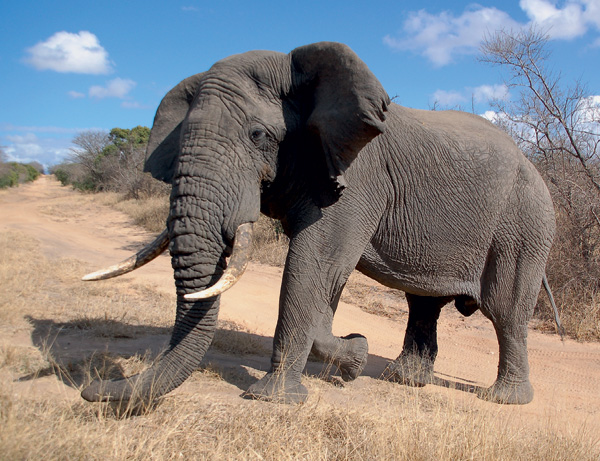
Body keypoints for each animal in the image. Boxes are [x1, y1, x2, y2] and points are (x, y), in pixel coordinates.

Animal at [81, 40, 556, 406]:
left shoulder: (359, 178)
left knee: (505, 310)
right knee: (423, 302)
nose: (91, 389)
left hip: (527, 222)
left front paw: (275, 399)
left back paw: (505, 399)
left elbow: (313, 264)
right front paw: (353, 356)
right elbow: (324, 277)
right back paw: (402, 380)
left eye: (258, 136)